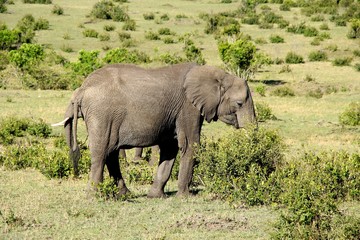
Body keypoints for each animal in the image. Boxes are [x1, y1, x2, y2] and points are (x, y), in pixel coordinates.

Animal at [55, 62, 256, 198]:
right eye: (239, 103)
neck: (218, 74)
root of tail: (82, 89)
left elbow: (170, 149)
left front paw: (156, 196)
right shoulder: (188, 107)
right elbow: (190, 145)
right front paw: (186, 197)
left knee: (110, 152)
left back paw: (124, 195)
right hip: (102, 114)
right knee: (101, 152)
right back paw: (95, 196)